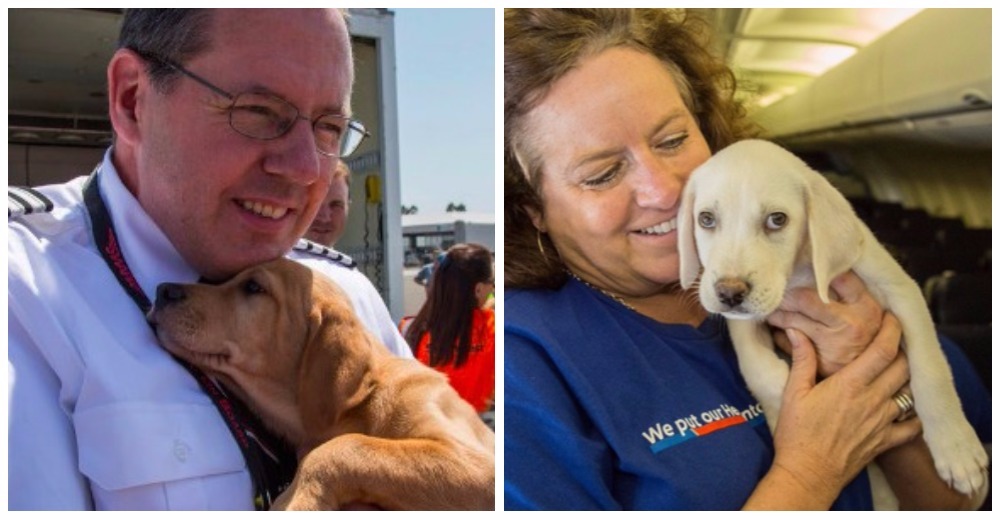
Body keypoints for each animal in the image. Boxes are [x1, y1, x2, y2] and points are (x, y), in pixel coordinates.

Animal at [147, 258, 492, 510]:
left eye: (253, 286)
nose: (162, 291)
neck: (359, 406)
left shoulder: (474, 462)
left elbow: (346, 446)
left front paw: (295, 500)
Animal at [676, 138, 988, 508]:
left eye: (777, 220)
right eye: (706, 219)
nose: (729, 293)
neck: (799, 276)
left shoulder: (902, 292)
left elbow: (931, 370)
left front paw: (956, 448)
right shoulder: (744, 321)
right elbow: (758, 368)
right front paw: (781, 400)